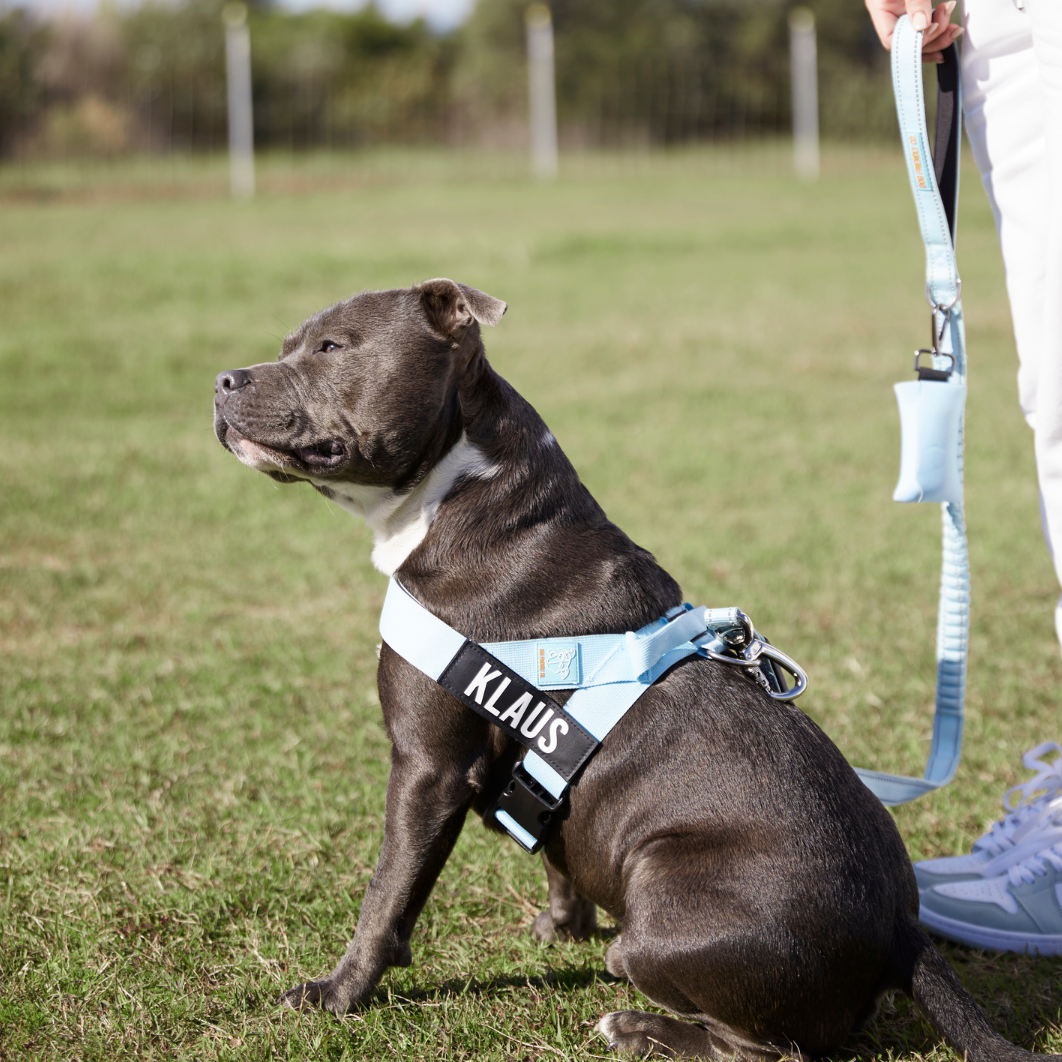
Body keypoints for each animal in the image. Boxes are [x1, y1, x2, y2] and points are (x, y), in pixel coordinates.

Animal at [211, 280, 1057, 1062]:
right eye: (288, 345)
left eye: (332, 348)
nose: (222, 379)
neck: (464, 491)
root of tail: (903, 930)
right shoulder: (529, 774)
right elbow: (550, 847)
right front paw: (562, 927)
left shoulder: (427, 767)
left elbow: (386, 895)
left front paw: (336, 992)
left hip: (663, 904)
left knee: (765, 1046)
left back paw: (639, 1026)